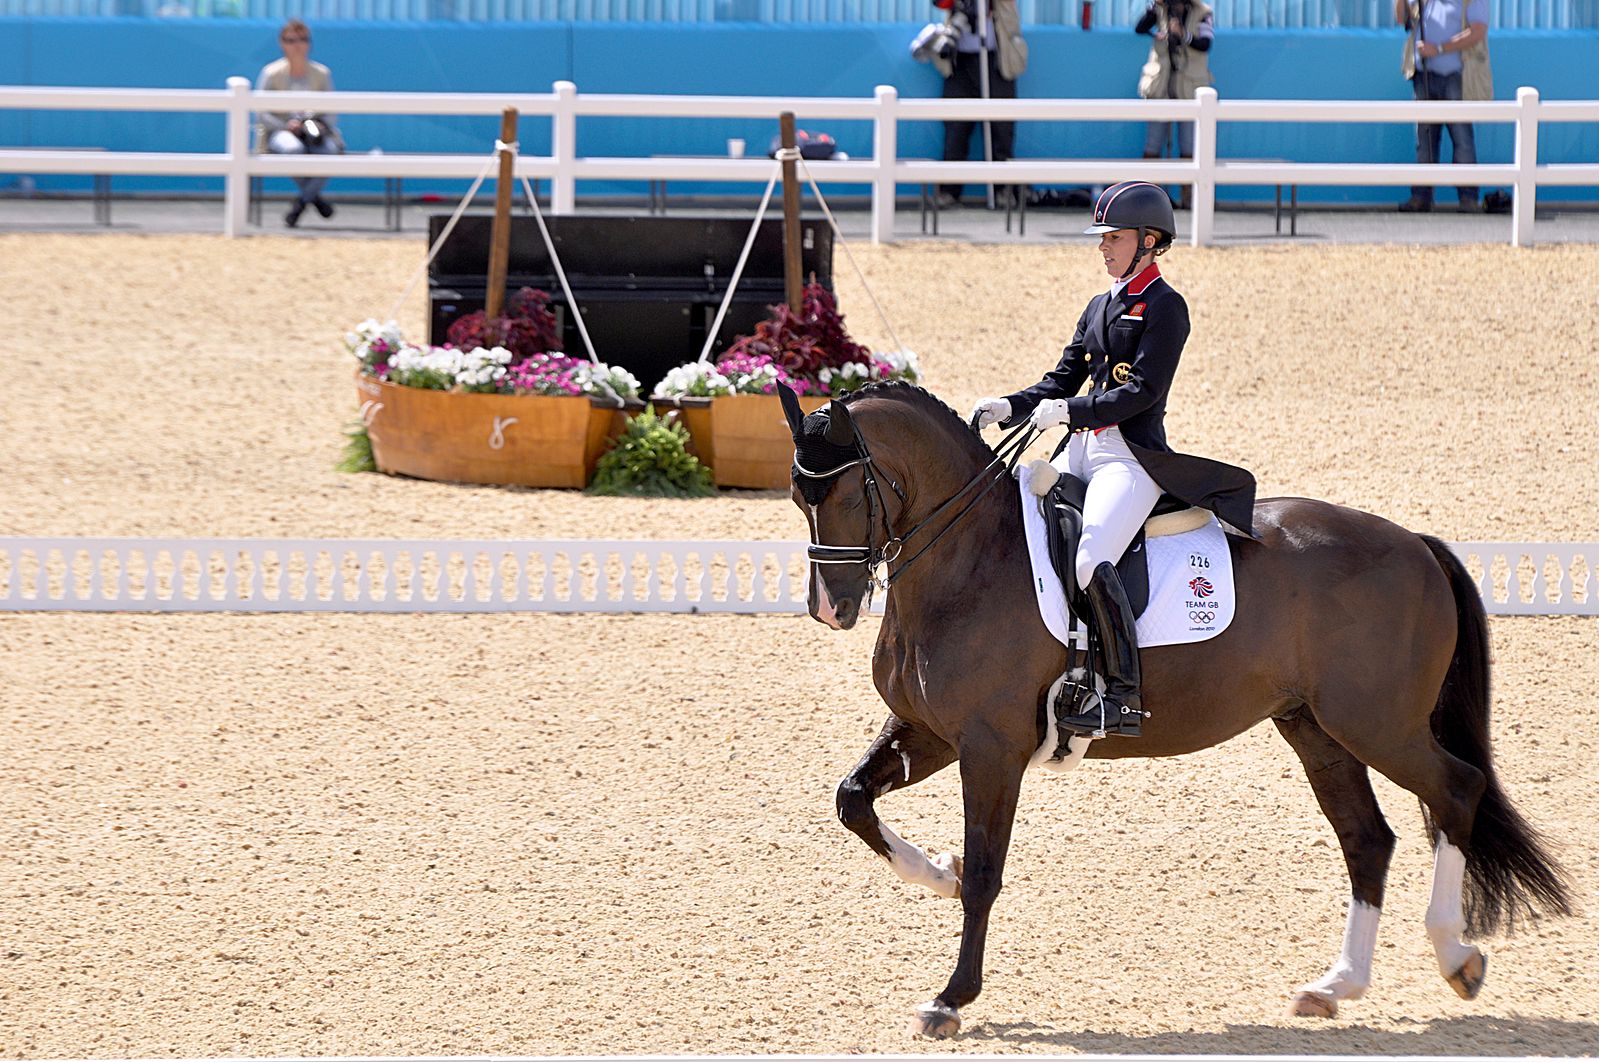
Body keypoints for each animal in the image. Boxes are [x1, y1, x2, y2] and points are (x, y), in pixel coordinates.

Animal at [780, 382, 1567, 1036]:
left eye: (848, 490)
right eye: (797, 495)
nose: (830, 609)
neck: (968, 561)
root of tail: (1417, 545)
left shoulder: (989, 748)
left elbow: (984, 873)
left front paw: (950, 999)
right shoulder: (930, 732)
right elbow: (853, 800)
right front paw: (936, 871)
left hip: (1379, 724)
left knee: (1456, 790)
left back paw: (1456, 958)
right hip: (1316, 729)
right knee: (1367, 839)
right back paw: (1335, 986)